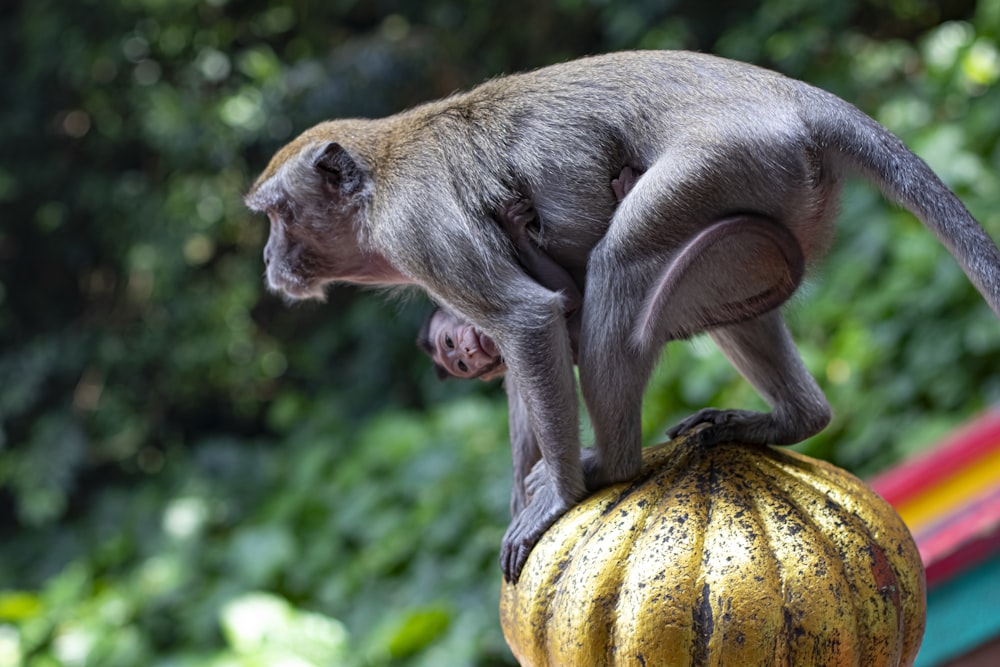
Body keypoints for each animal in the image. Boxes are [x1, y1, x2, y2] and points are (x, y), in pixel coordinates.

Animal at [242, 51, 1000, 584]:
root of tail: (786, 93)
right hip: (775, 190)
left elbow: (526, 318)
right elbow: (526, 349)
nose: (269, 258)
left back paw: (611, 465)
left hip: (723, 162)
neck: (378, 179)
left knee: (623, 263)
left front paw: (555, 496)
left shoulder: (416, 229)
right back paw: (795, 417)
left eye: (278, 215)